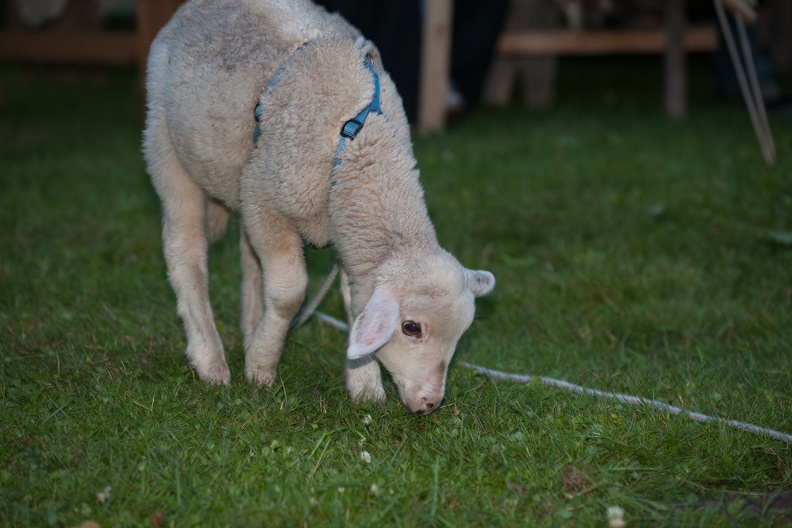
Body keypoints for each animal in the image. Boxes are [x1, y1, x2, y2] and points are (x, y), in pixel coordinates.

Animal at [139, 0, 492, 414]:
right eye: (411, 328)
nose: (429, 404)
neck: (358, 141)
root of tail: (193, 7)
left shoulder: (341, 231)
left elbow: (355, 305)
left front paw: (364, 386)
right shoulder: (268, 204)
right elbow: (289, 293)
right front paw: (261, 364)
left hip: (243, 176)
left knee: (247, 255)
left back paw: (250, 326)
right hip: (165, 142)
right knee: (186, 249)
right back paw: (210, 358)